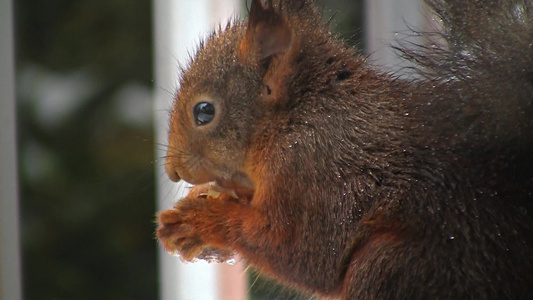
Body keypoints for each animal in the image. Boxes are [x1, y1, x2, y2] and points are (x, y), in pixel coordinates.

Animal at [157, 0, 532, 298]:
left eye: (204, 112)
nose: (172, 171)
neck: (295, 114)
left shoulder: (314, 167)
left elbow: (304, 253)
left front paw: (199, 220)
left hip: (393, 268)